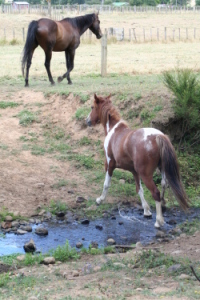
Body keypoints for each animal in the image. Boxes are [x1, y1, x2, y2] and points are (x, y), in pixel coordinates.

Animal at [86, 95, 189, 229]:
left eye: (92, 107)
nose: (87, 120)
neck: (114, 131)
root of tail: (158, 136)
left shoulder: (110, 164)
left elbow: (106, 184)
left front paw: (100, 200)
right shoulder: (134, 171)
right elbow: (139, 189)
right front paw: (146, 210)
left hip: (146, 175)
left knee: (155, 192)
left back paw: (159, 221)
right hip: (161, 169)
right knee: (163, 184)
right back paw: (163, 206)